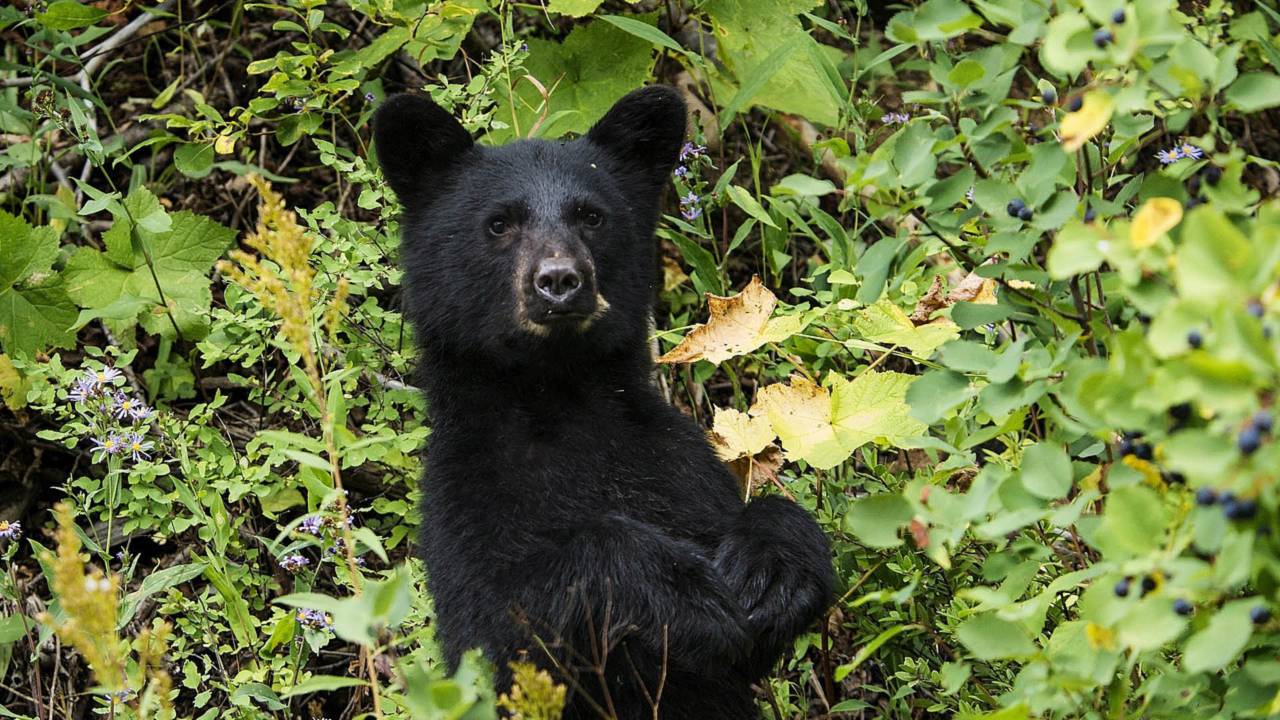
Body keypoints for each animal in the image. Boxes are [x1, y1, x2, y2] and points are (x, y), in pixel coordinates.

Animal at [372, 85, 835, 720]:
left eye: (591, 216)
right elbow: (509, 615)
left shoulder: (674, 465)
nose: (559, 280)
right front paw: (681, 590)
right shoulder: (467, 498)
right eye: (499, 223)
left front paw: (771, 570)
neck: (556, 397)